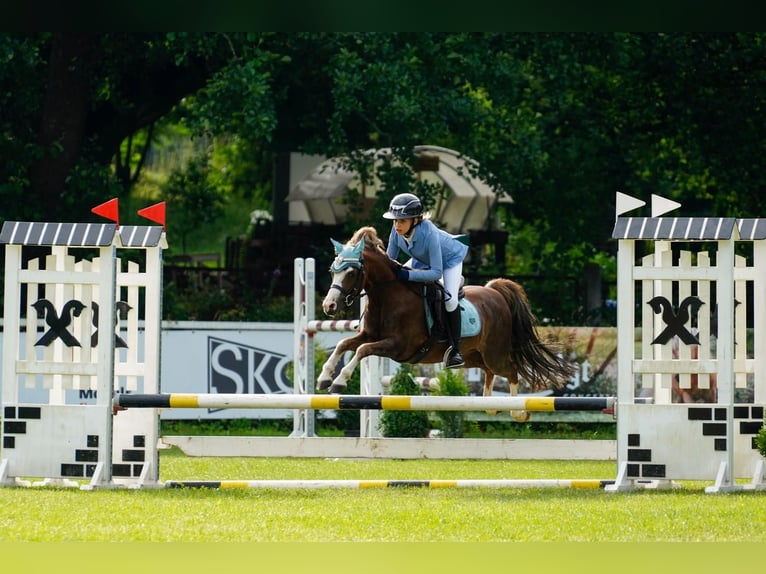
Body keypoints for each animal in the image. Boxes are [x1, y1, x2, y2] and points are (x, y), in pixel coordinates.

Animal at [317, 226, 575, 421]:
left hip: (495, 352)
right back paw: (491, 405)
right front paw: (324, 378)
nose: (329, 306)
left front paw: (338, 382)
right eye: (332, 270)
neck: (387, 295)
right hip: (474, 355)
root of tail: (495, 292)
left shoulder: (398, 346)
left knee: (510, 370)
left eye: (351, 272)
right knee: (489, 371)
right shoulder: (370, 334)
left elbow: (361, 350)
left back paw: (517, 412)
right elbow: (344, 344)